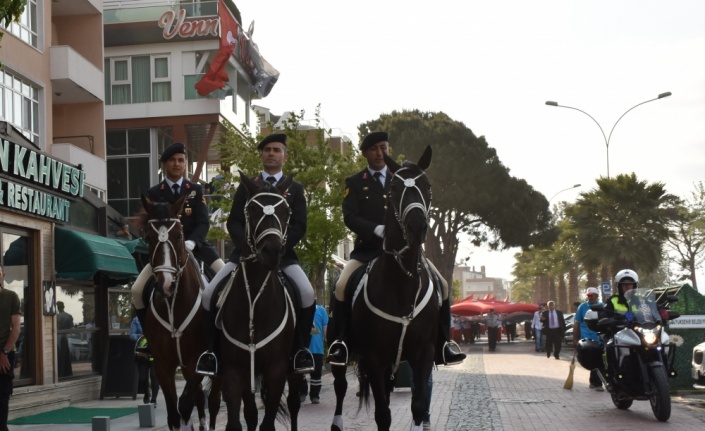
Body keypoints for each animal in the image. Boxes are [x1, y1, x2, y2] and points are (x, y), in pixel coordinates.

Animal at [140, 197, 221, 431]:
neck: (174, 305)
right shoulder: (163, 364)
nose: (165, 285)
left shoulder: (198, 359)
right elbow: (174, 414)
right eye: (148, 237)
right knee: (200, 399)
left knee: (213, 402)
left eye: (178, 235)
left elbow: (185, 405)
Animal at [216, 173, 302, 431]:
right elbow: (236, 421)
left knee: (294, 404)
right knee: (252, 412)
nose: (272, 252)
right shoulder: (234, 369)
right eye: (252, 210)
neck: (255, 296)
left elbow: (268, 423)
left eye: (285, 210)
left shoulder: (277, 369)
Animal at [328, 146, 438, 431]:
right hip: (343, 353)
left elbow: (418, 405)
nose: (417, 227)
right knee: (340, 387)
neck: (402, 281)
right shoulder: (374, 357)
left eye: (427, 186)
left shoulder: (423, 353)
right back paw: (337, 422)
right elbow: (382, 414)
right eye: (394, 189)